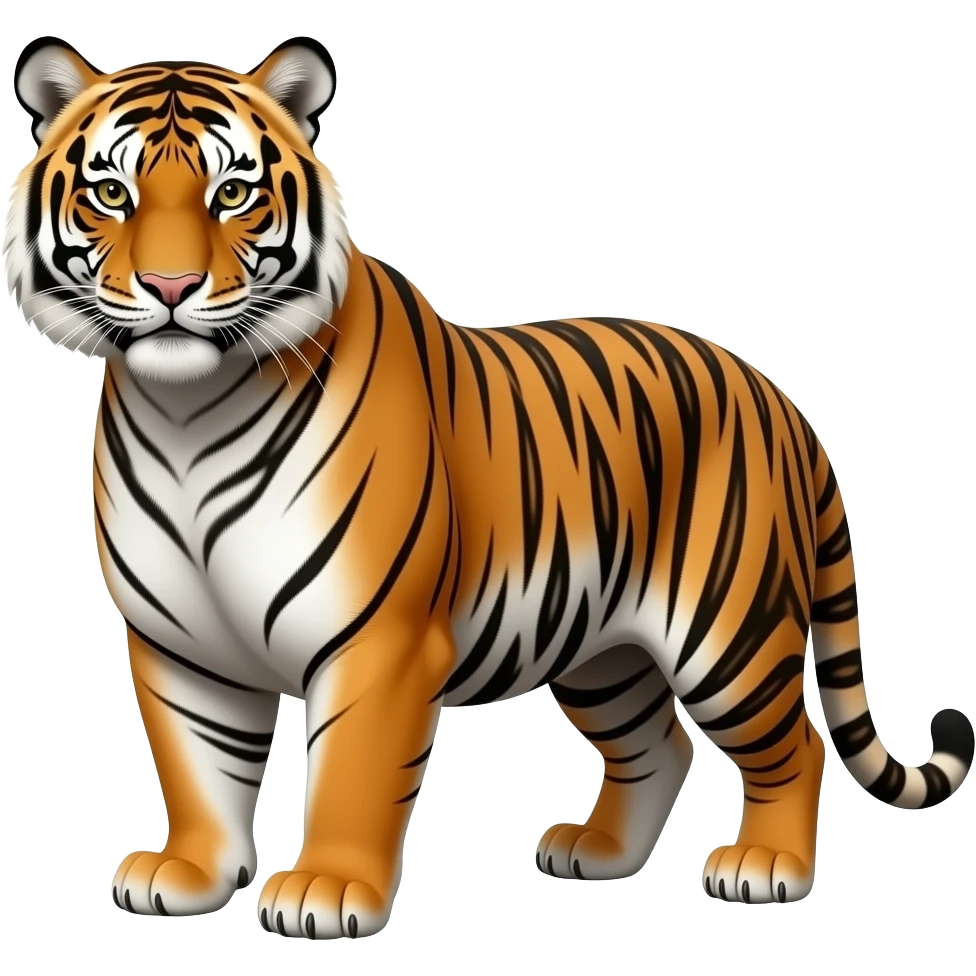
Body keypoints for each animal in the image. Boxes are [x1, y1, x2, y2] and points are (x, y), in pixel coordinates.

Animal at [4, 34, 973, 939]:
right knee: (657, 742)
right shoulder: (180, 644)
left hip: (727, 630)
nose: (170, 286)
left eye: (233, 194)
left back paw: (767, 868)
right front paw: (191, 874)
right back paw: (599, 851)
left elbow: (351, 771)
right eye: (111, 194)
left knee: (795, 744)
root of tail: (777, 395)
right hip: (601, 649)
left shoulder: (379, 641)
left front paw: (326, 891)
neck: (188, 415)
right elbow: (197, 767)